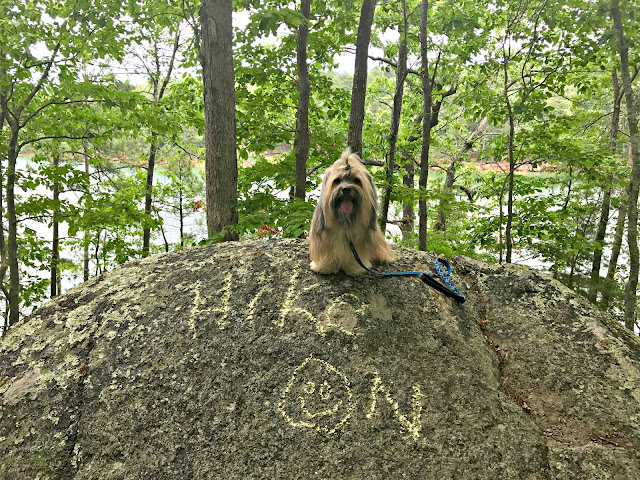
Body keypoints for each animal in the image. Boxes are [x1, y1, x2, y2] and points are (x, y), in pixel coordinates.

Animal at [310, 146, 396, 276]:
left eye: (356, 180)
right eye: (337, 180)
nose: (346, 189)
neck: (345, 219)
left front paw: (354, 268)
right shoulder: (324, 238)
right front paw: (325, 267)